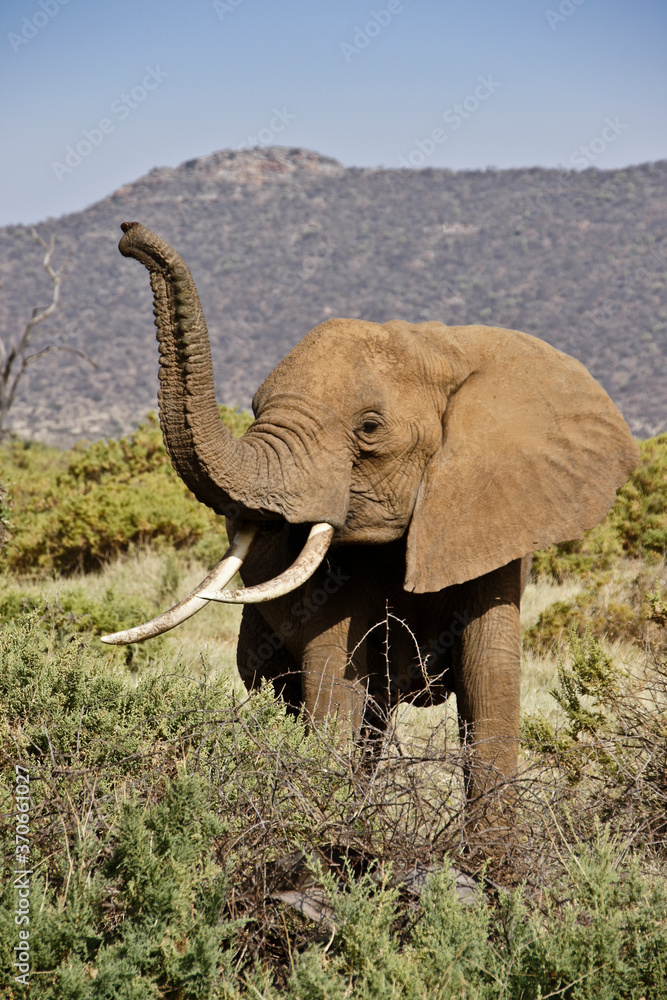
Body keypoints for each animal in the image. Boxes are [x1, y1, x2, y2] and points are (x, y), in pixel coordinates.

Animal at [102, 222, 639, 803]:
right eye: (255, 409)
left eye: (370, 427)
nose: (128, 234)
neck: (440, 346)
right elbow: (333, 679)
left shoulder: (496, 515)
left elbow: (488, 682)